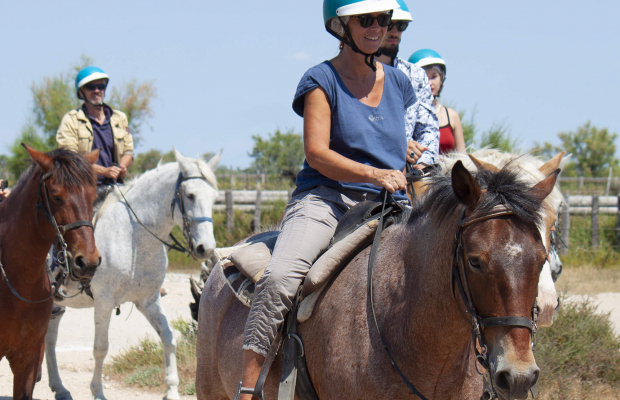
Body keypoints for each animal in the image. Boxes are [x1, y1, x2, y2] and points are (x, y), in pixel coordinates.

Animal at [45, 148, 220, 398]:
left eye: (214, 198)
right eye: (190, 195)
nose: (206, 248)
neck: (133, 236)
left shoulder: (148, 301)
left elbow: (168, 337)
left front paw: (172, 389)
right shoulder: (104, 302)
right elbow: (100, 348)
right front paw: (98, 392)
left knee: (49, 339)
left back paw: (59, 388)